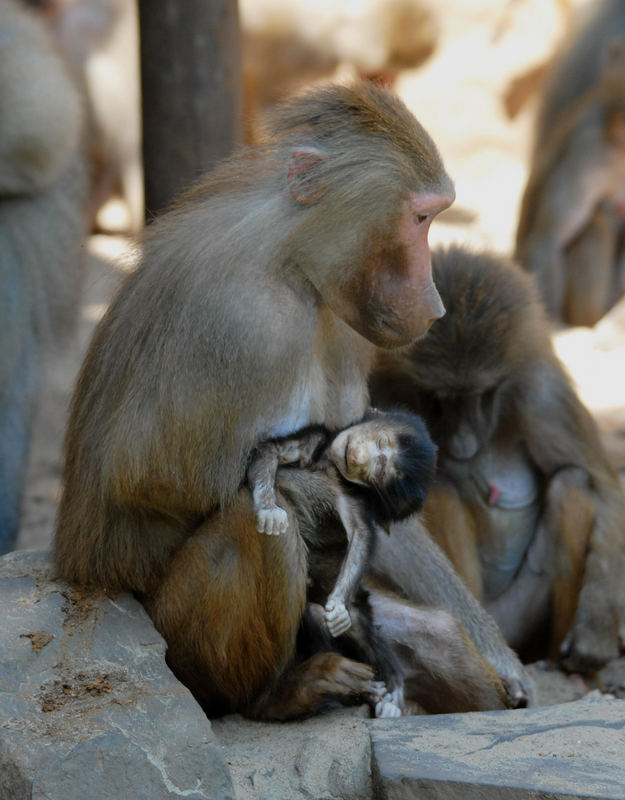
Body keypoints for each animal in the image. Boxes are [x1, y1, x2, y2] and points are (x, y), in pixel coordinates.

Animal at [246, 406, 436, 636]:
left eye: (378, 473)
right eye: (381, 442)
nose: (357, 457)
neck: (329, 465)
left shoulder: (355, 497)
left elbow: (360, 534)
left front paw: (338, 605)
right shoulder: (313, 438)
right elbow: (273, 450)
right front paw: (268, 510)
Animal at [368, 244, 624, 668]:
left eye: (482, 395)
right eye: (437, 399)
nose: (462, 442)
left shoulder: (541, 393)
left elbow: (605, 491)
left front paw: (597, 629)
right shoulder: (380, 389)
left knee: (571, 481)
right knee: (442, 487)